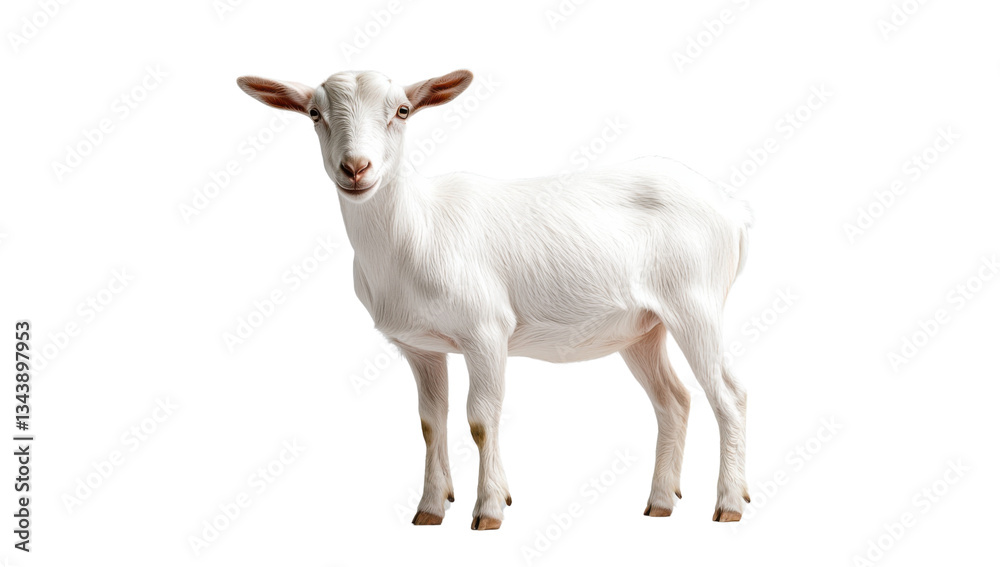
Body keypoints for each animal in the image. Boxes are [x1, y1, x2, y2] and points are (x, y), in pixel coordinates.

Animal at [237, 69, 753, 530]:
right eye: (314, 113)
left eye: (402, 111)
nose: (356, 168)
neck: (415, 230)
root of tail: (730, 212)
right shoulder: (420, 347)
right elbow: (430, 421)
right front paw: (430, 509)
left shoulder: (486, 330)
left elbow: (481, 420)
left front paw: (488, 510)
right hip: (642, 326)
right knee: (674, 400)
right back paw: (661, 502)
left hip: (696, 303)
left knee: (729, 395)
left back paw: (729, 503)